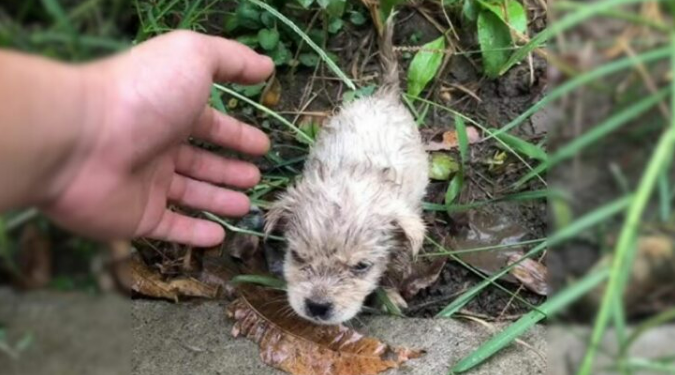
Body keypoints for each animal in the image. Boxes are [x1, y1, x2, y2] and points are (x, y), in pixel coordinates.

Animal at [264, 16, 428, 324]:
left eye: (361, 266)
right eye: (298, 256)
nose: (317, 307)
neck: (354, 175)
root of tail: (384, 96)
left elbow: (394, 270)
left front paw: (390, 298)